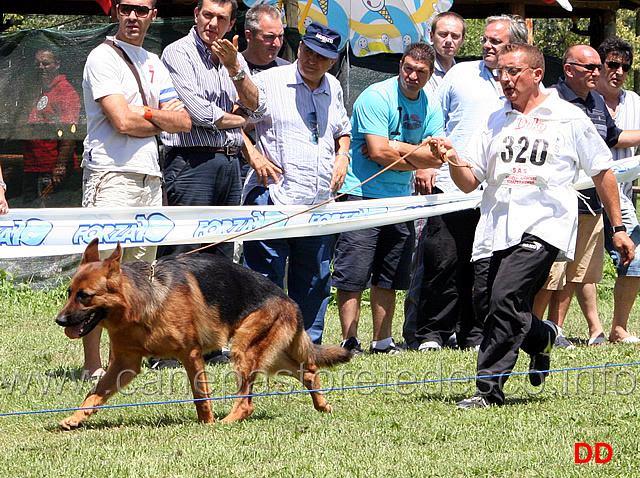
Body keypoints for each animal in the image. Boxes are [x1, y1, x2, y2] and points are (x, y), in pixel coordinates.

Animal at [56, 239, 350, 430]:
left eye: (85, 296)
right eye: (70, 293)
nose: (60, 321)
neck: (141, 302)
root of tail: (290, 301)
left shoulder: (191, 354)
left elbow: (200, 395)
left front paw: (205, 424)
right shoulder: (124, 364)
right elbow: (95, 393)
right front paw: (76, 418)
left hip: (244, 351)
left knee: (247, 402)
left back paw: (226, 423)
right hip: (269, 357)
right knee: (308, 370)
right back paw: (322, 406)